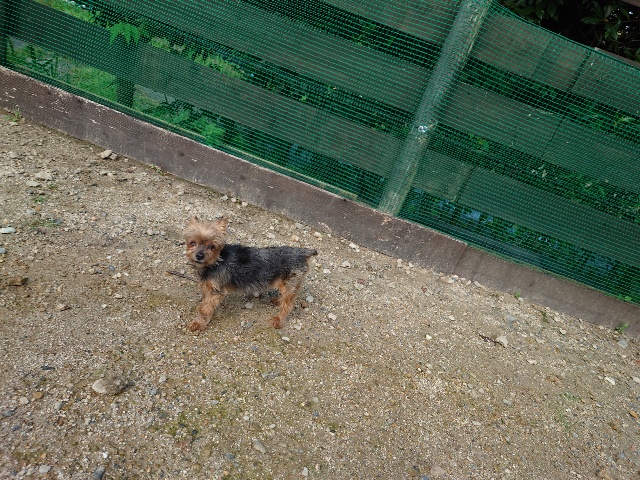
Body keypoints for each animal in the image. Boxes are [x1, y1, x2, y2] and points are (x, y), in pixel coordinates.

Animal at [183, 216, 317, 331]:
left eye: (211, 246)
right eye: (192, 243)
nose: (199, 256)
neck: (216, 261)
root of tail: (303, 253)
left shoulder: (216, 292)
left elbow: (204, 308)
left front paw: (198, 323)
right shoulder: (208, 287)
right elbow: (206, 302)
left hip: (289, 283)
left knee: (288, 305)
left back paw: (278, 320)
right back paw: (277, 300)